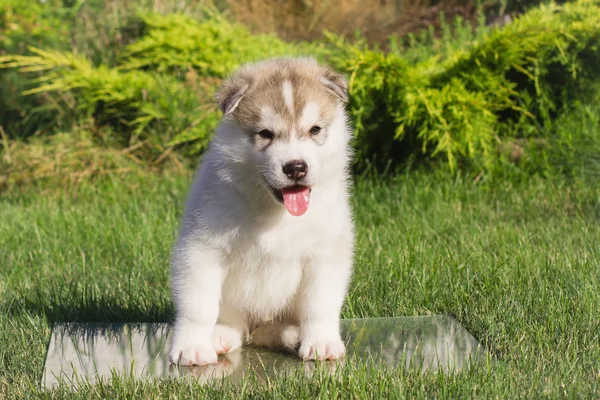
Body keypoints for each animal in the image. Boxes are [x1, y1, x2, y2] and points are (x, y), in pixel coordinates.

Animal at [169, 56, 354, 366]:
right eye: (265, 134)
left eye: (315, 130)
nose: (296, 167)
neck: (275, 213)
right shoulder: (202, 249)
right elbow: (199, 306)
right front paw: (192, 347)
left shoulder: (325, 253)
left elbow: (319, 304)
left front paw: (322, 343)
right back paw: (220, 337)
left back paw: (293, 335)